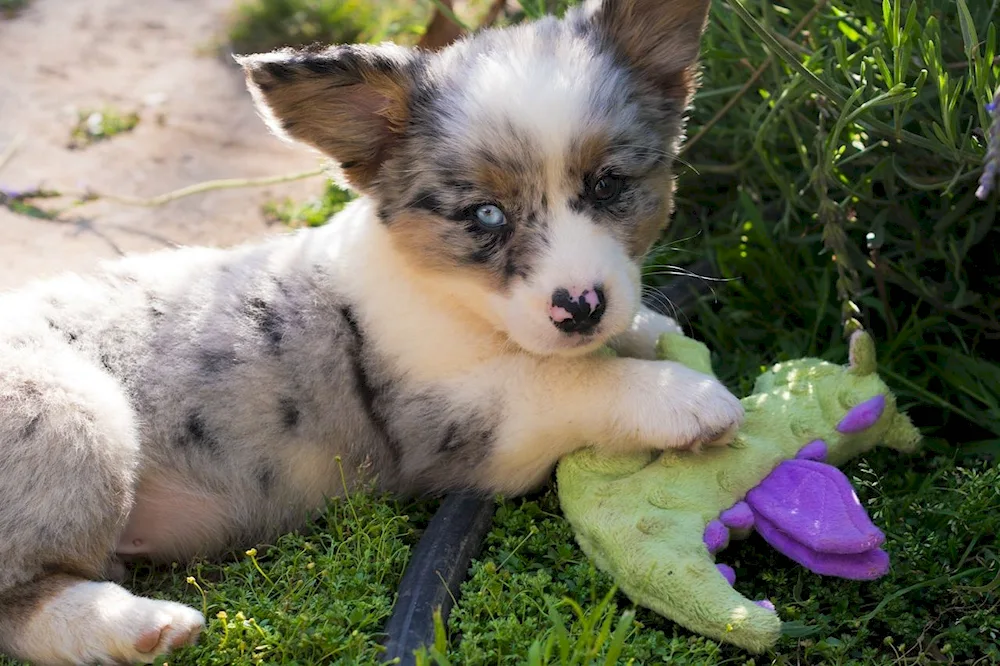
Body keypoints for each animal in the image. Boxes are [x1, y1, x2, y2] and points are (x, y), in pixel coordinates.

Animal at [0, 2, 744, 660]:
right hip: (74, 413)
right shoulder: (458, 429)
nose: (581, 307)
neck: (455, 300)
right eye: (486, 216)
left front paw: (655, 330)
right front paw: (688, 398)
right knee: (17, 605)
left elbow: (618, 337)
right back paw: (143, 627)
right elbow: (568, 376)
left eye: (607, 184)